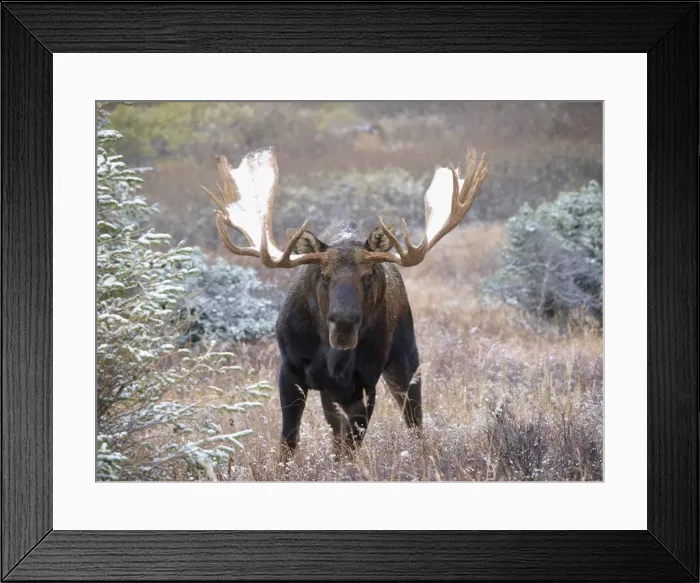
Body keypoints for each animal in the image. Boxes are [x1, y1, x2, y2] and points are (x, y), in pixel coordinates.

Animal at [202, 146, 488, 462]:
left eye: (368, 276)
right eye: (324, 276)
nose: (344, 324)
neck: (330, 357)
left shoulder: (363, 383)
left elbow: (351, 448)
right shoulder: (289, 371)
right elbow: (288, 442)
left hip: (405, 361)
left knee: (414, 421)